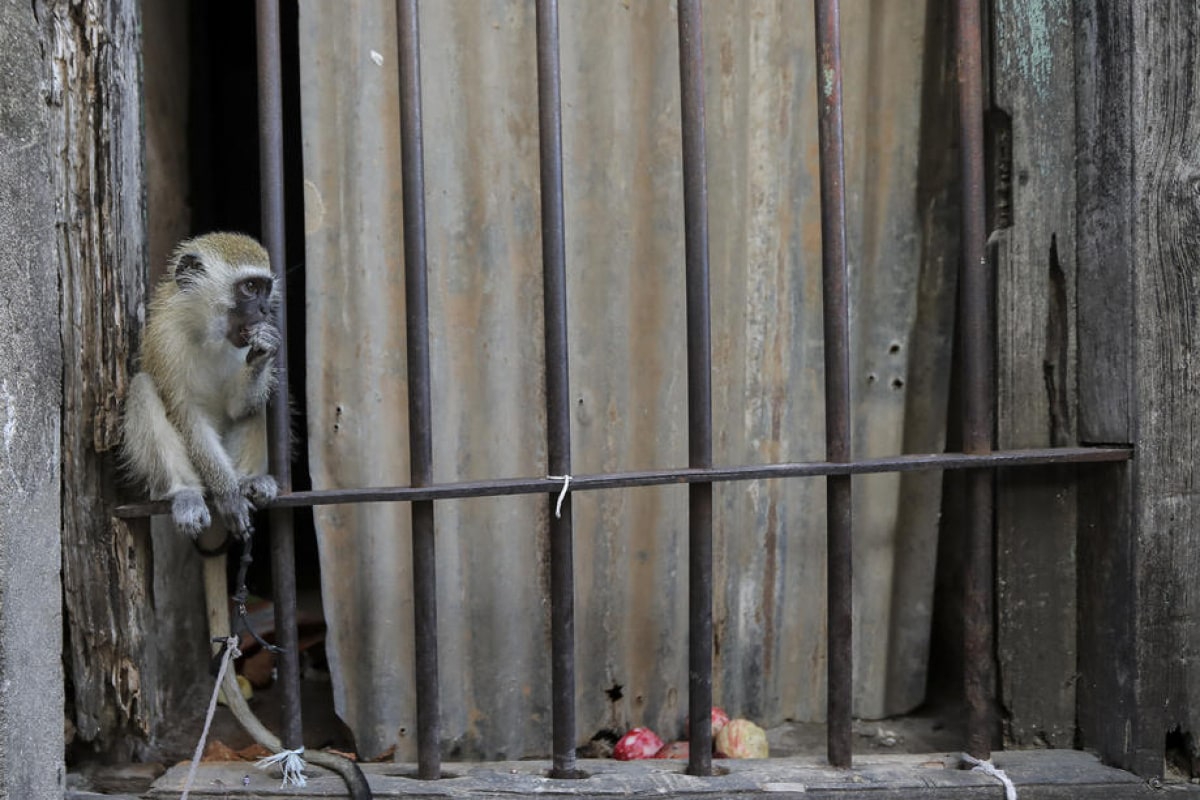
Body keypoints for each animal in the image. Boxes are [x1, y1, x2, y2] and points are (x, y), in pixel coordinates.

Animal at [121, 235, 280, 542]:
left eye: (265, 289)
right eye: (250, 287)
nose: (266, 310)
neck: (206, 335)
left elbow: (238, 407)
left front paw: (263, 351)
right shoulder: (166, 341)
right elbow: (187, 416)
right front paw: (228, 496)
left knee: (258, 403)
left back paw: (249, 479)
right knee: (142, 388)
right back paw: (186, 493)